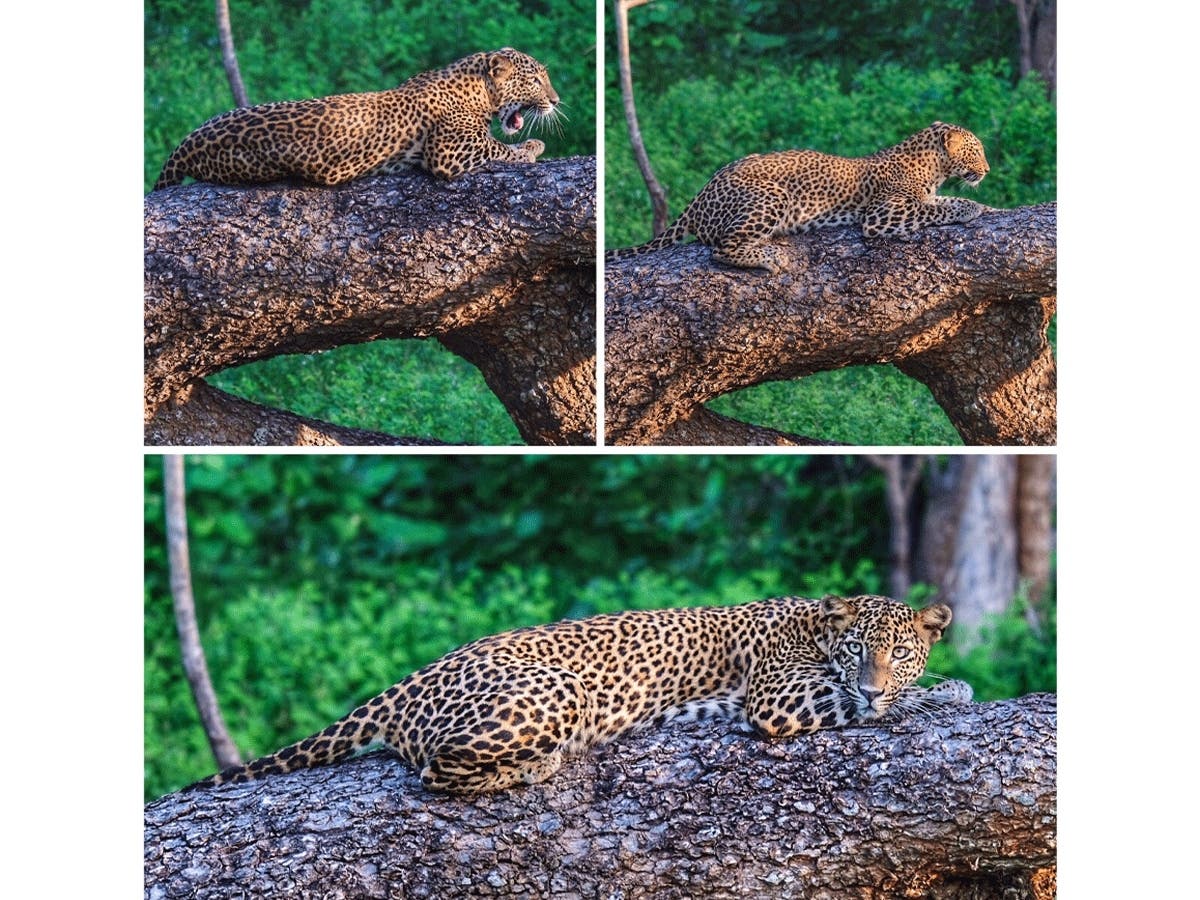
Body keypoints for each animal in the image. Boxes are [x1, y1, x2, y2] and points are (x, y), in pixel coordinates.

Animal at [152, 48, 560, 190]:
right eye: (536, 80)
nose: (556, 101)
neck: (477, 89)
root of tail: (189, 139)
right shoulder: (449, 151)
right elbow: (500, 148)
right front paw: (534, 146)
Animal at [183, 594, 971, 796]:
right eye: (859, 650)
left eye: (899, 651)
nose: (873, 678)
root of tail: (413, 677)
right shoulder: (778, 698)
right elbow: (865, 707)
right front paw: (944, 696)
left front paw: (941, 683)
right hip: (555, 690)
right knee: (438, 771)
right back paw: (541, 764)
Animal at [605, 121, 990, 274]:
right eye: (976, 151)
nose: (987, 170)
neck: (934, 168)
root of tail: (700, 194)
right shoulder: (882, 215)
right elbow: (935, 211)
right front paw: (970, 209)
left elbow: (938, 204)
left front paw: (983, 205)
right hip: (772, 195)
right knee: (722, 249)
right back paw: (767, 258)